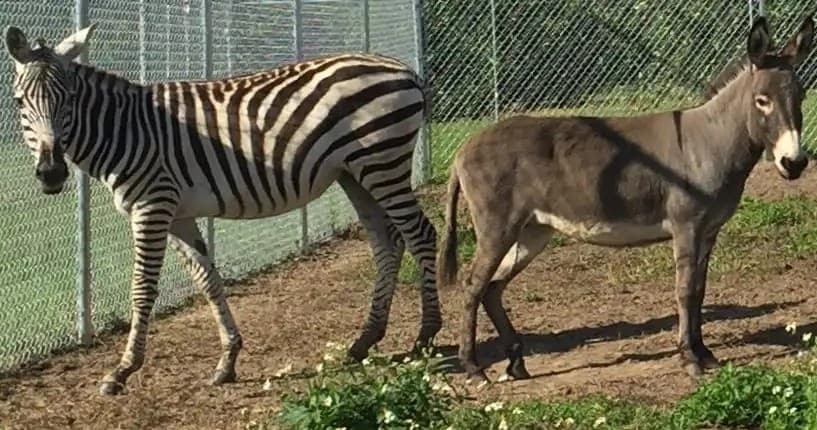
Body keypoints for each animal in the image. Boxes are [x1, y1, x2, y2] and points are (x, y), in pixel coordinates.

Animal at [4, 23, 441, 396]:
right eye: (20, 102)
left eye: (69, 99)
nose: (51, 173)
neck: (124, 131)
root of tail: (404, 69)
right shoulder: (177, 214)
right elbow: (207, 279)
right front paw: (228, 359)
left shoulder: (152, 205)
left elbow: (142, 289)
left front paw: (122, 370)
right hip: (355, 173)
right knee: (386, 243)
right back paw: (364, 341)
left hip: (381, 161)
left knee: (421, 235)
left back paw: (425, 336)